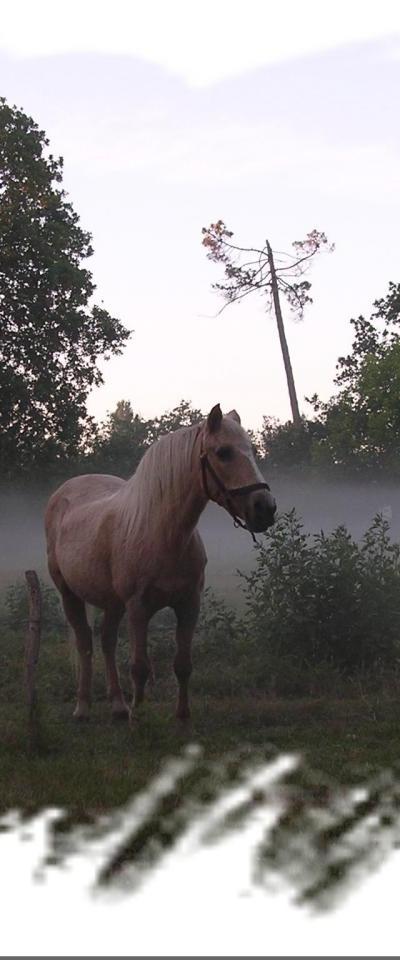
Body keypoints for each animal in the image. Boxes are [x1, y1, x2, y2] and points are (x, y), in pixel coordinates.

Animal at [43, 404, 276, 720]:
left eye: (250, 450)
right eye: (223, 452)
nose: (265, 508)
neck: (163, 535)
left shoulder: (189, 605)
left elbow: (183, 665)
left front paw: (182, 718)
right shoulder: (138, 609)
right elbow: (140, 668)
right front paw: (139, 718)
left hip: (113, 603)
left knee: (107, 642)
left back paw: (118, 706)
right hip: (70, 595)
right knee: (85, 644)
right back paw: (82, 708)